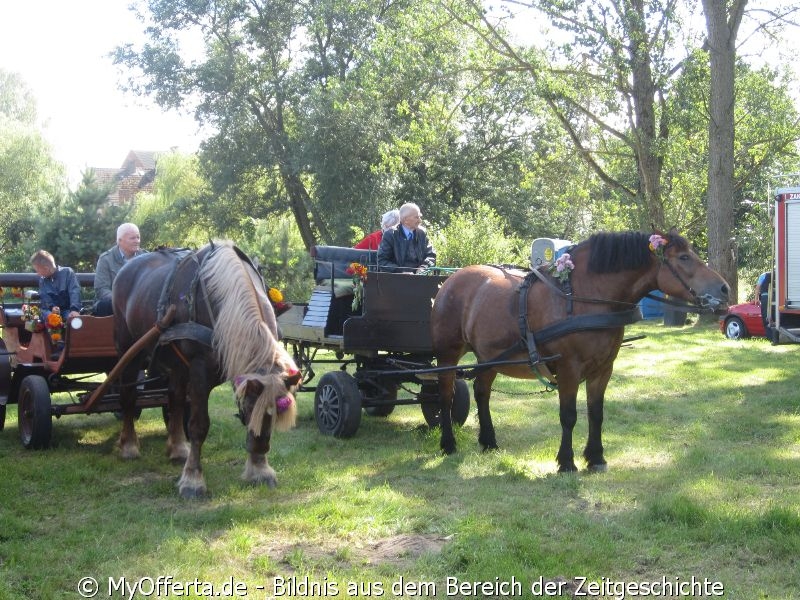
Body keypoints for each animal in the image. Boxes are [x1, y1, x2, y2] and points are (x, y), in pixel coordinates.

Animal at [112, 241, 300, 500]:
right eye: (250, 408)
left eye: (274, 414)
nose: (260, 448)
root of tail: (127, 267)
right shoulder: (200, 371)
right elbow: (198, 425)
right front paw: (193, 480)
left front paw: (260, 470)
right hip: (129, 349)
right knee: (129, 396)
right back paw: (129, 445)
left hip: (177, 365)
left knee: (175, 399)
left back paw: (178, 448)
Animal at [432, 227, 732, 472]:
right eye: (683, 258)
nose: (725, 288)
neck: (583, 297)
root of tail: (451, 279)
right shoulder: (568, 369)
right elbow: (569, 416)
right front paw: (566, 462)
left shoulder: (603, 369)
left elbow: (596, 414)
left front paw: (596, 457)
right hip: (448, 354)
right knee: (445, 396)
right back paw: (448, 443)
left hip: (488, 357)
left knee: (482, 393)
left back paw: (489, 441)